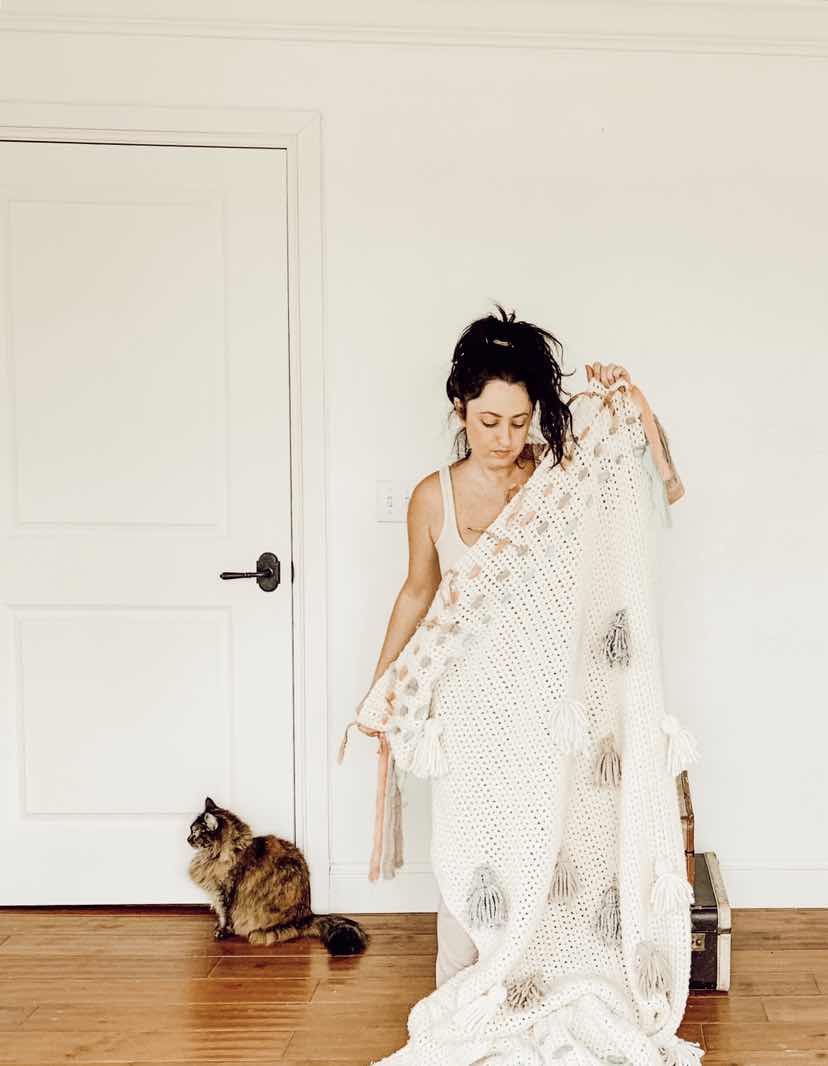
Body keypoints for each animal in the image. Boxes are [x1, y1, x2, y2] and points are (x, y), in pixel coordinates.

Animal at [187, 796, 369, 955]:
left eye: (195, 833)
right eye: (191, 831)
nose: (187, 839)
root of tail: (307, 915)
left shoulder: (224, 892)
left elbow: (225, 916)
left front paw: (221, 932)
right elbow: (221, 915)